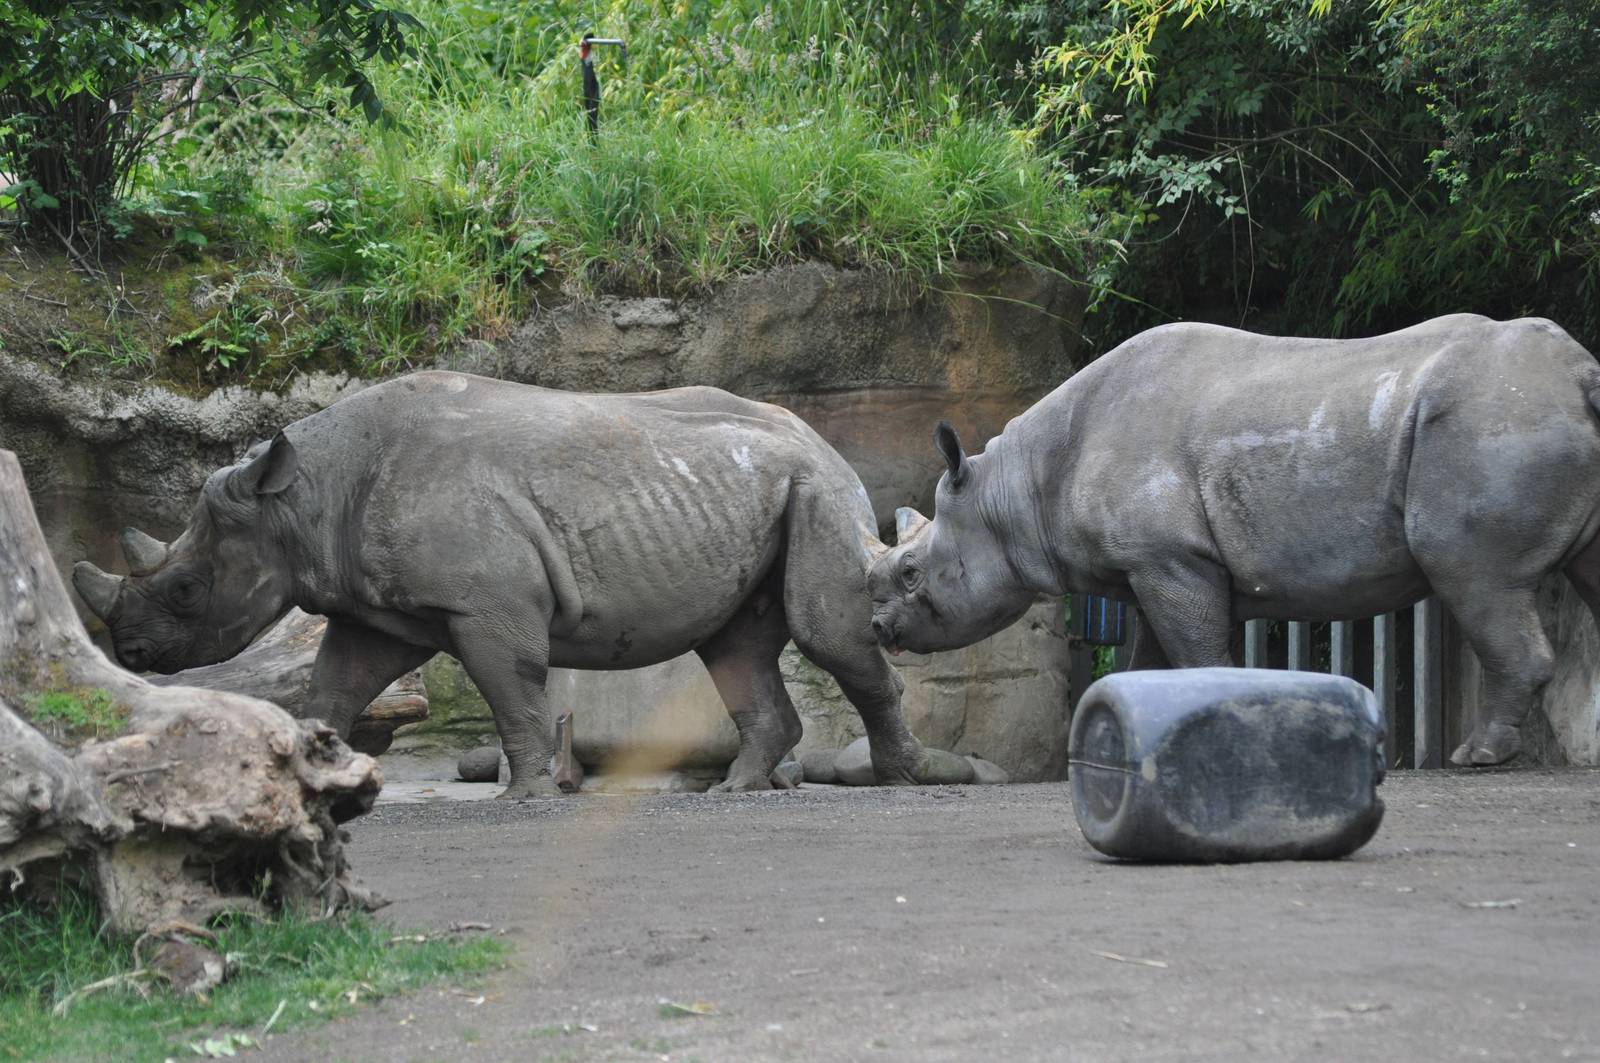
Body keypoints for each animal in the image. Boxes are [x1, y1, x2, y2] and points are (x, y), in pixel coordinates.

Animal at [74, 371, 936, 798]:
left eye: (187, 589)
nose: (132, 651)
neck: (302, 497)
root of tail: (823, 438)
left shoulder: (486, 604)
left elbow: (511, 688)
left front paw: (522, 797)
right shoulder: (375, 611)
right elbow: (334, 686)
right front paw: (317, 767)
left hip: (818, 485)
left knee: (824, 630)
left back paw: (897, 779)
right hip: (767, 488)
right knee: (735, 646)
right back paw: (735, 788)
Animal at [868, 314, 1600, 767]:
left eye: (911, 572)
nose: (876, 627)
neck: (1015, 491)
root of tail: (1580, 372)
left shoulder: (1172, 560)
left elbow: (1195, 653)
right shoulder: (1152, 566)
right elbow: (1148, 660)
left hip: (1493, 421)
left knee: (1476, 577)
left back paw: (1478, 755)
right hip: (1518, 416)